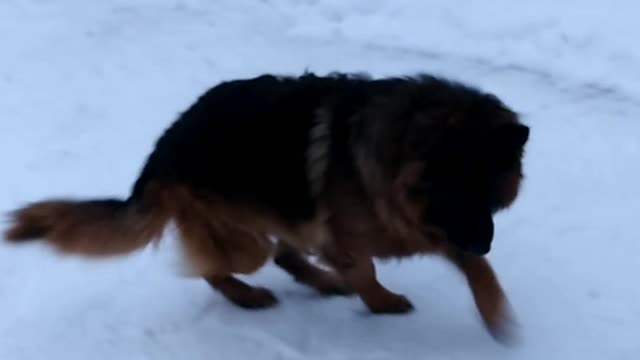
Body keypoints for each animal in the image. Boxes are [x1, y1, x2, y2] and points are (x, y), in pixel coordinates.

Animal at [3, 71, 528, 344]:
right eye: (459, 191)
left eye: (491, 195)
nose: (485, 239)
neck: (397, 149)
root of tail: (161, 154)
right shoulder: (367, 232)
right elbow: (367, 273)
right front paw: (381, 304)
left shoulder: (430, 228)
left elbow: (475, 267)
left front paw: (496, 314)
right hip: (242, 239)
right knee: (217, 267)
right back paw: (249, 295)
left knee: (282, 254)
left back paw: (321, 282)